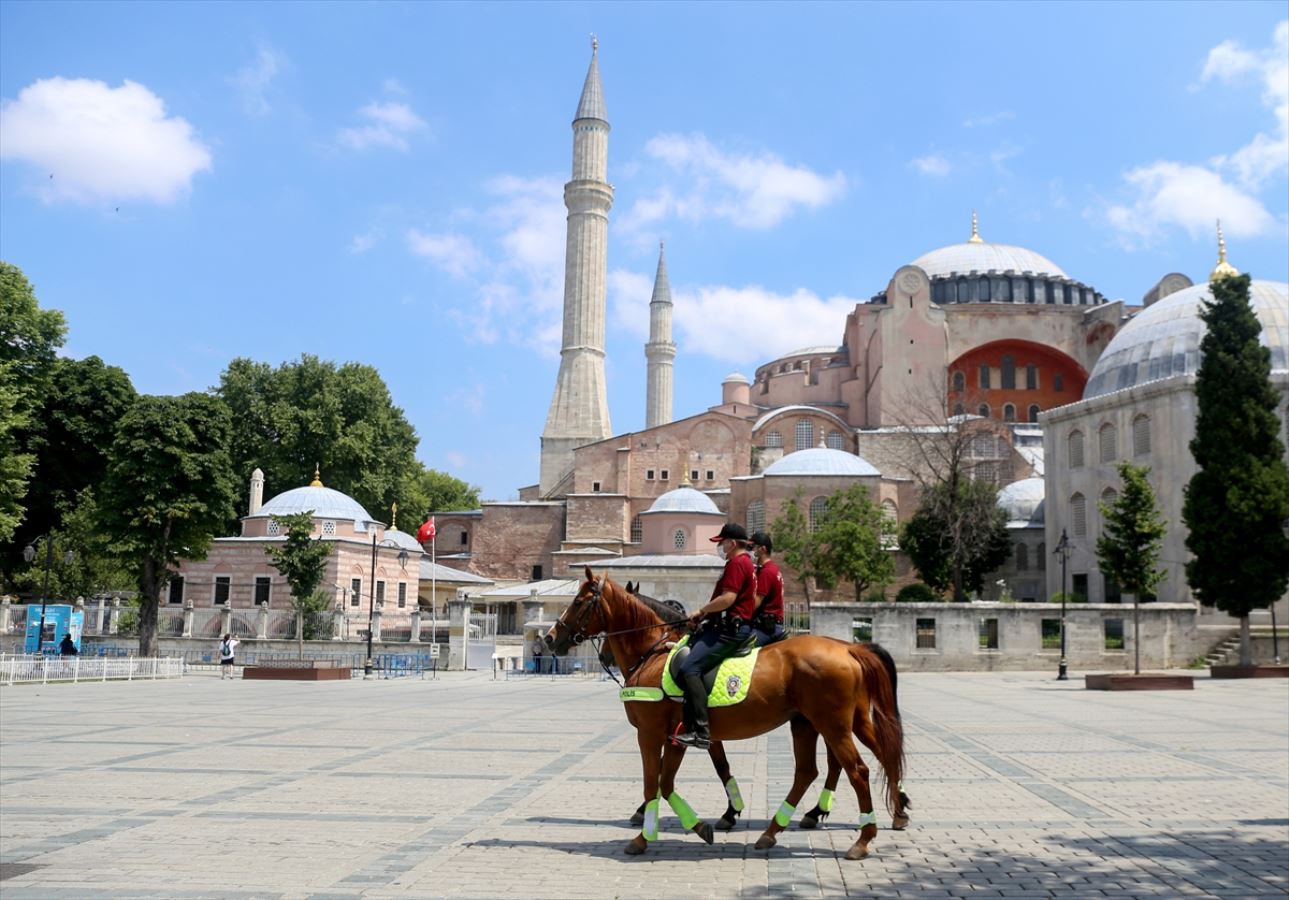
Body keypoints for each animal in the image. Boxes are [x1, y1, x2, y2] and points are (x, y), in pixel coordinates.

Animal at [543, 567, 907, 856]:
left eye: (579, 602)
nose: (550, 638)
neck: (655, 654)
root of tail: (849, 648)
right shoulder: (679, 737)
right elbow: (670, 782)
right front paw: (702, 824)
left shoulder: (651, 733)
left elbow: (654, 782)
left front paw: (644, 836)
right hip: (813, 722)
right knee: (822, 768)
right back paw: (783, 827)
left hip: (831, 723)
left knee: (857, 769)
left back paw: (863, 837)